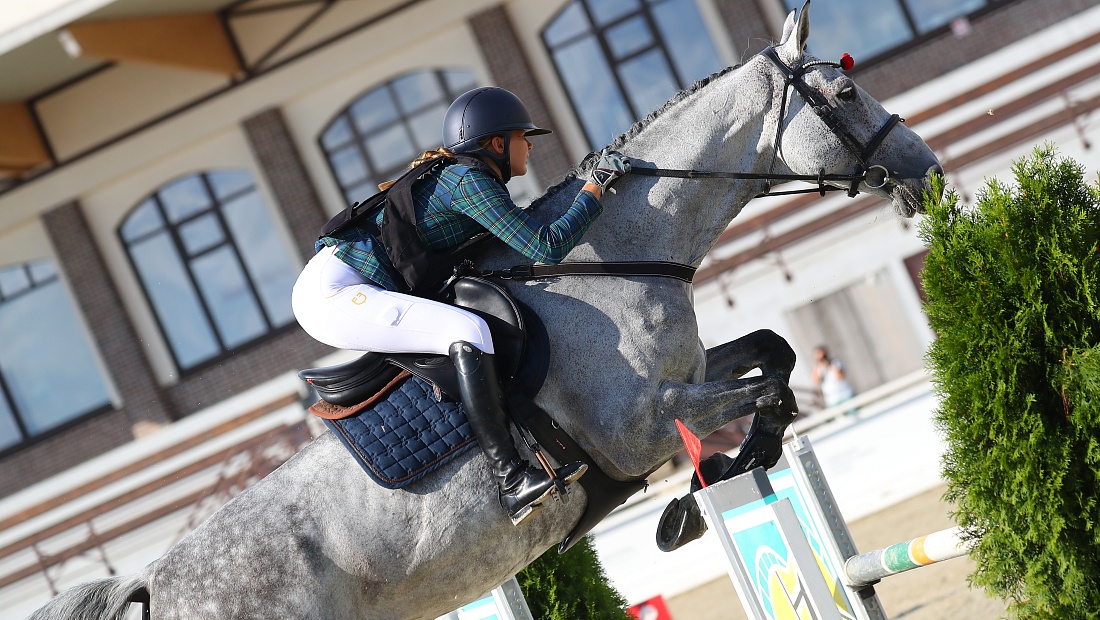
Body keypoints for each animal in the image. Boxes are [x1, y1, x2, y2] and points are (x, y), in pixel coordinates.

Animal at [27, 3, 937, 615]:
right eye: (845, 90)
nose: (926, 169)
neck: (612, 260)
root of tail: (154, 576)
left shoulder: (685, 375)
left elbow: (775, 352)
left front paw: (727, 469)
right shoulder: (640, 427)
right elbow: (765, 391)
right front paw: (706, 486)